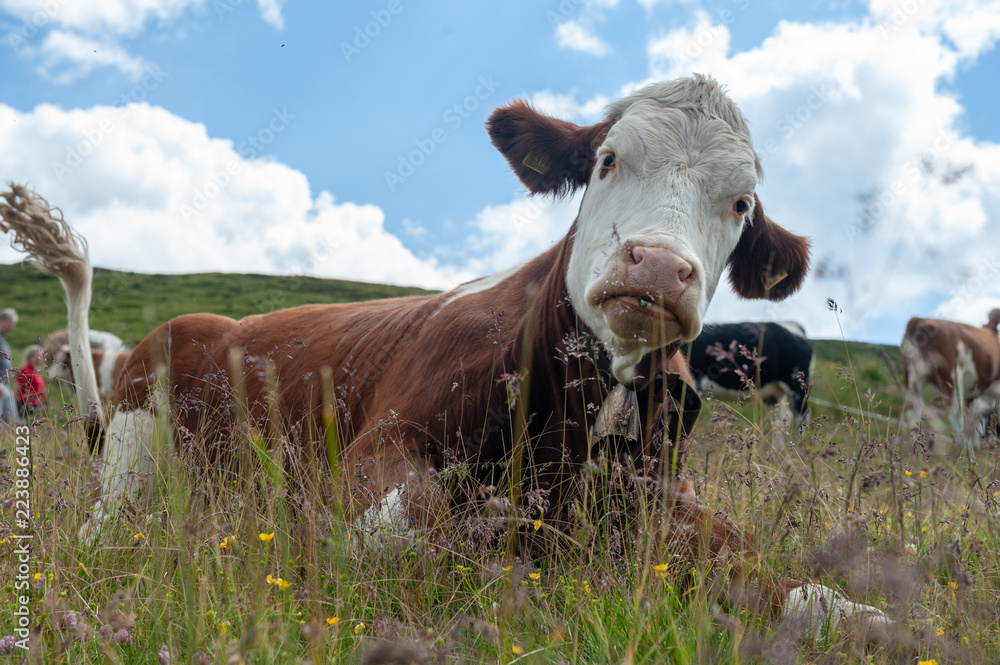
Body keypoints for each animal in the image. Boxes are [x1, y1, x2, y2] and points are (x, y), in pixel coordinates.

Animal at [900, 316, 1000, 444]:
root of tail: (918, 319)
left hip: (912, 378)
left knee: (913, 414)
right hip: (953, 377)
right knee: (955, 412)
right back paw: (964, 446)